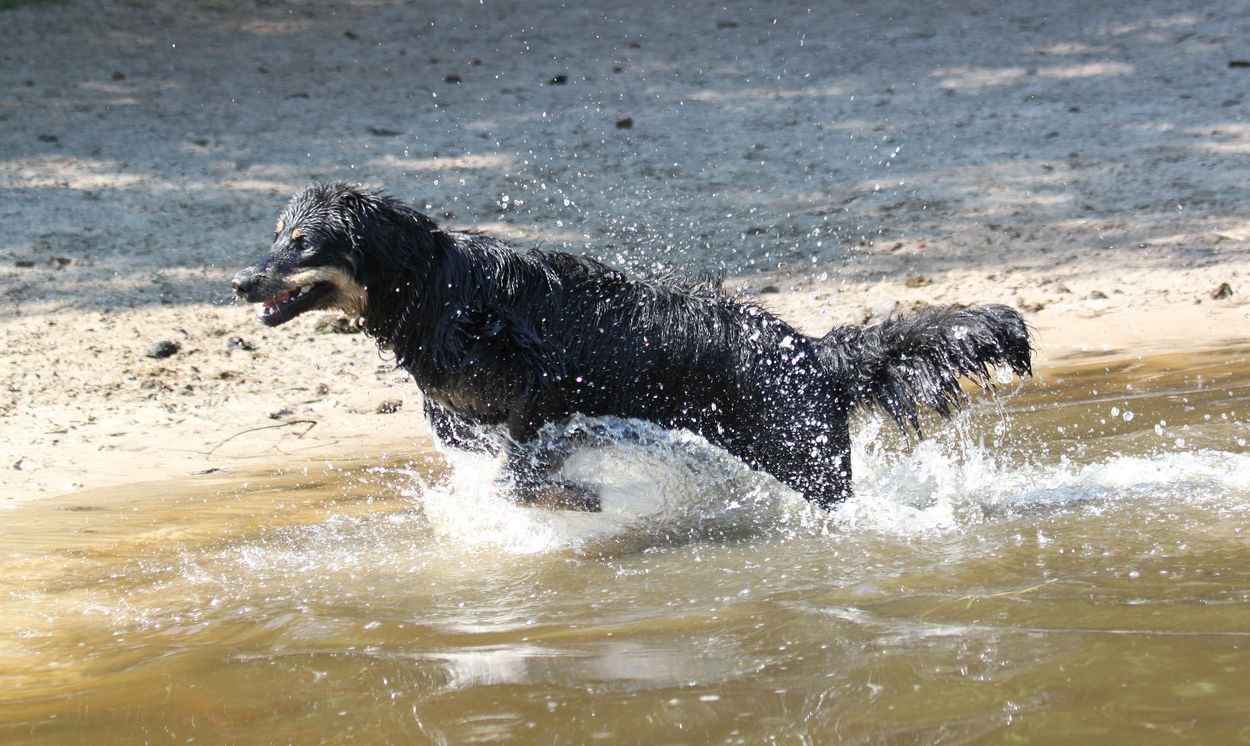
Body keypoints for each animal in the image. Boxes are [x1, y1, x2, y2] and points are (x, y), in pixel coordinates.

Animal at [232, 183, 1031, 510]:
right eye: (275, 234)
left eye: (302, 243)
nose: (240, 280)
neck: (433, 289)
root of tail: (811, 350)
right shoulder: (473, 412)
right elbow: (488, 452)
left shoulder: (547, 390)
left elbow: (520, 472)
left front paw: (573, 496)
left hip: (803, 456)